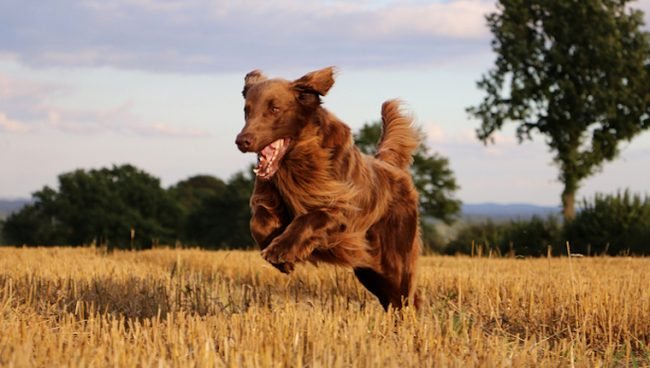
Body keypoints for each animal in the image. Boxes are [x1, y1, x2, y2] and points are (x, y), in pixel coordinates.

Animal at [233, 67, 420, 310]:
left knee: (406, 295)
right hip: (369, 270)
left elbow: (309, 218)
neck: (297, 163)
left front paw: (280, 251)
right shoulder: (268, 197)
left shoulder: (342, 212)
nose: (242, 141)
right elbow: (259, 223)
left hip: (395, 259)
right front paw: (282, 259)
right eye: (247, 110)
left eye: (275, 109)